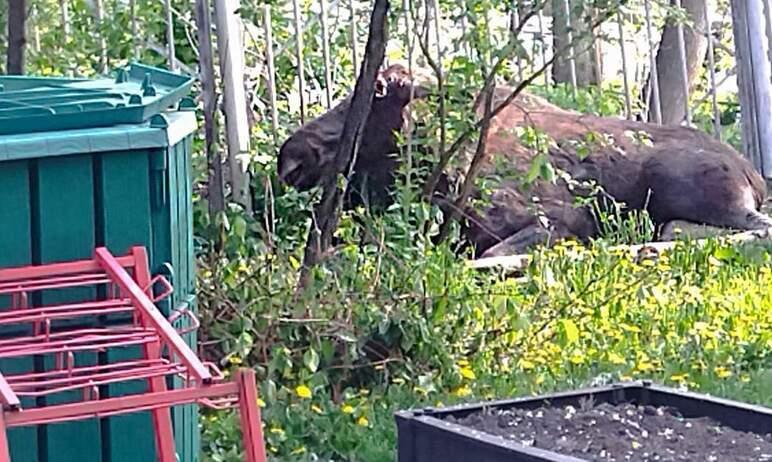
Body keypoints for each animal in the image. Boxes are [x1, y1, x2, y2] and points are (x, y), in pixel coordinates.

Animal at [278, 63, 772, 258]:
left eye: (372, 95)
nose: (291, 155)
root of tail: (754, 175)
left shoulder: (559, 218)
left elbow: (491, 253)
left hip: (679, 182)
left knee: (753, 226)